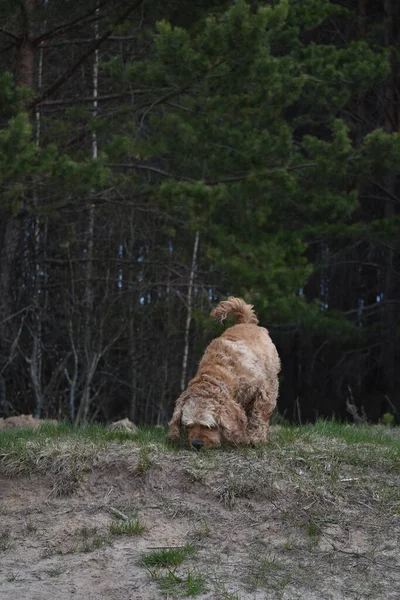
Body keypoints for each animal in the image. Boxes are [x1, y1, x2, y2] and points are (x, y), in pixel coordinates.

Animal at [169, 298, 282, 448]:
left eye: (210, 426)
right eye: (188, 426)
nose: (197, 444)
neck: (218, 372)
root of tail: (245, 323)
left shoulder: (263, 389)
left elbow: (259, 415)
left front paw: (256, 438)